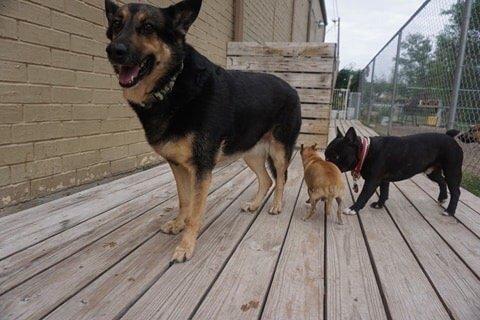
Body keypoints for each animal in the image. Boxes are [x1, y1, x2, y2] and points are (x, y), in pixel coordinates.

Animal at [104, 0, 300, 262]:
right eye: (117, 24)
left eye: (148, 27)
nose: (113, 50)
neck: (172, 84)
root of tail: (292, 88)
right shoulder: (178, 166)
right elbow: (184, 201)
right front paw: (178, 224)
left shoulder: (201, 169)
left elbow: (195, 213)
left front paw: (186, 246)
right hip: (250, 152)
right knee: (266, 179)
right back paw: (254, 205)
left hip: (279, 151)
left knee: (280, 178)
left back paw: (276, 205)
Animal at [324, 128, 464, 218]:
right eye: (326, 155)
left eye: (336, 156)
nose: (327, 163)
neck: (366, 151)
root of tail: (450, 137)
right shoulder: (383, 179)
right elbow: (384, 192)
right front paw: (379, 204)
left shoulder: (372, 181)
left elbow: (363, 195)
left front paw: (353, 209)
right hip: (432, 171)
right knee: (442, 181)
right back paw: (442, 197)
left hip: (452, 171)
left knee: (455, 191)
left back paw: (449, 211)